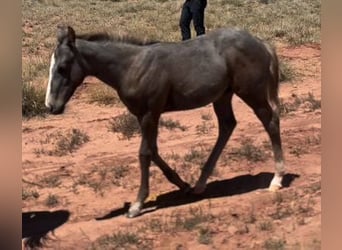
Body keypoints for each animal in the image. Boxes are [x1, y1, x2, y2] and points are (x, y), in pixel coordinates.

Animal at [46, 24, 286, 218]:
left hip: (251, 92)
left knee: (270, 121)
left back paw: (276, 179)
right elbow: (154, 151)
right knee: (227, 126)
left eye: (62, 67)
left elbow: (145, 154)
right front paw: (183, 185)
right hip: (222, 96)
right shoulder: (144, 116)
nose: (50, 106)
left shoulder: (150, 113)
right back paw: (199, 185)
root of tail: (261, 42)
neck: (131, 66)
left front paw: (136, 205)